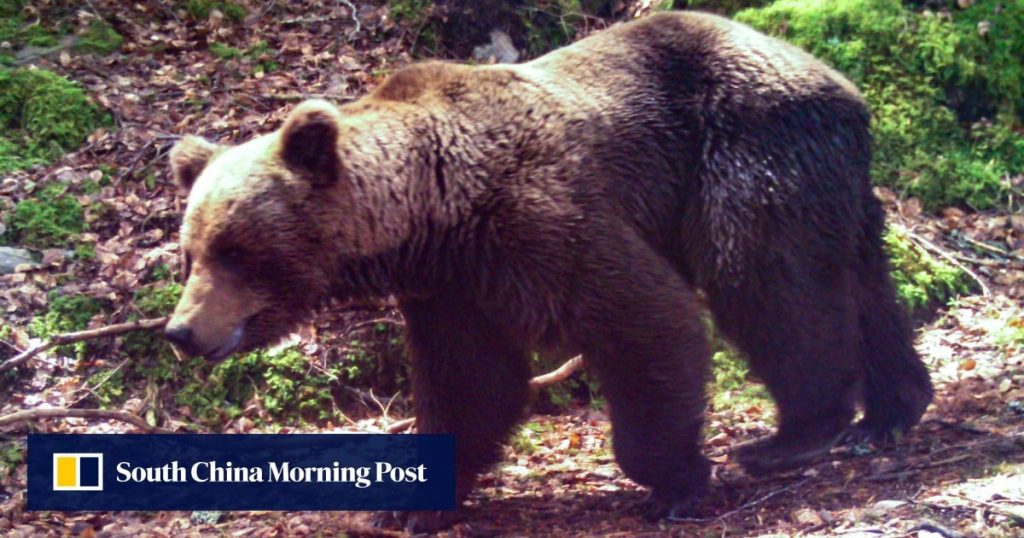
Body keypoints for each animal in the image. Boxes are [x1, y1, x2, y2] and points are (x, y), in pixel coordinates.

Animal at [165, 10, 933, 531]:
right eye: (191, 251)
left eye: (235, 249)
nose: (181, 331)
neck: (434, 210)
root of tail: (843, 85)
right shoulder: (452, 288)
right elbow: (469, 382)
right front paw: (412, 505)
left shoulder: (540, 220)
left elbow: (648, 318)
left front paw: (676, 480)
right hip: (829, 182)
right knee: (863, 285)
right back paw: (892, 410)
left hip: (746, 150)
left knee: (765, 279)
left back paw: (793, 434)